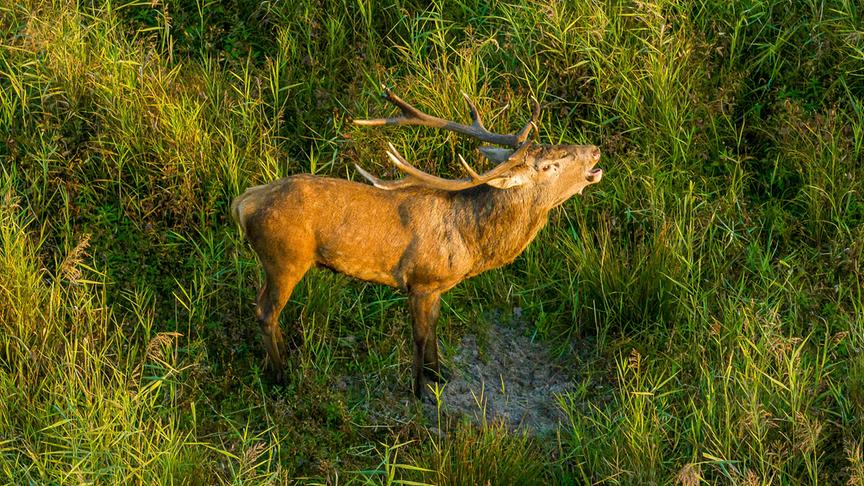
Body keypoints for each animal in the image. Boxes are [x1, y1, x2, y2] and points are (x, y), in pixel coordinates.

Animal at [231, 87, 603, 398]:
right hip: (285, 259)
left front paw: (440, 375)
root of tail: (244, 202)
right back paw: (281, 376)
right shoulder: (419, 281)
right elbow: (420, 335)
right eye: (551, 165)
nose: (595, 151)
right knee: (265, 311)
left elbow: (435, 328)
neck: (471, 242)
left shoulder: (437, 286)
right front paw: (419, 390)